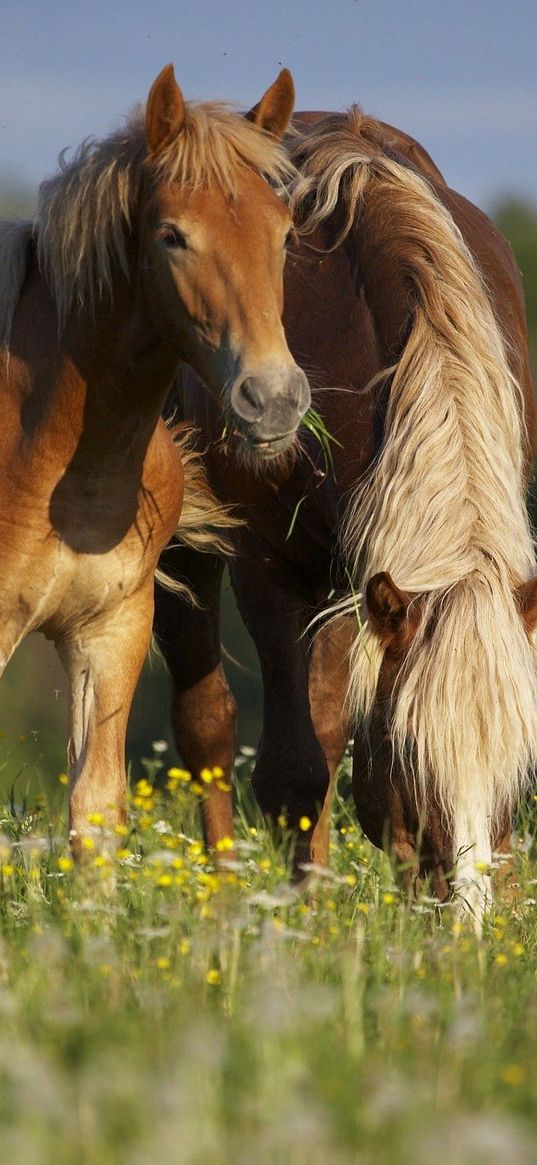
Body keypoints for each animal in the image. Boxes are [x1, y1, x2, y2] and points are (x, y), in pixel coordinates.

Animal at [153, 104, 535, 918]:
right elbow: (295, 772)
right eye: (407, 753)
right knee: (209, 730)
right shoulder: (270, 568)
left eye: (517, 770)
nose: (466, 923)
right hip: (184, 552)